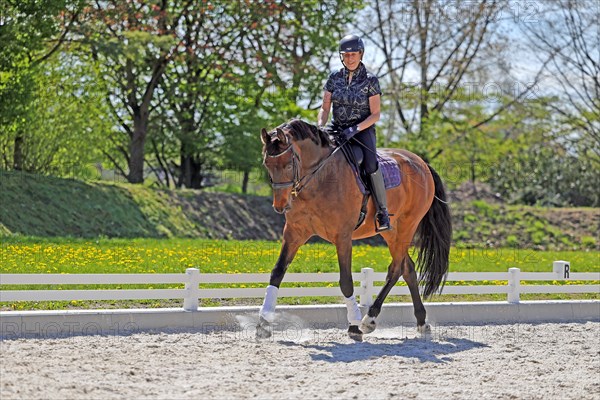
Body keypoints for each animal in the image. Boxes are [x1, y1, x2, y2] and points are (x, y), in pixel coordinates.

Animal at [258, 119, 450, 340]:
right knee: (407, 268)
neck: (319, 178)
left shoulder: (342, 236)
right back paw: (421, 322)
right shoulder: (294, 233)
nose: (280, 205)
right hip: (391, 232)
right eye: (267, 164)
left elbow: (346, 281)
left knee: (396, 269)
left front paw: (354, 326)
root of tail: (421, 162)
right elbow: (277, 272)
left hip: (407, 226)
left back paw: (369, 319)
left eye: (289, 164)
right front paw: (263, 323)